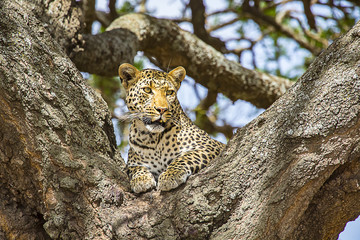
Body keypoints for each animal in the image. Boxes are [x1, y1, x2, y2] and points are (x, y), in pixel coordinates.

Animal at [119, 63, 225, 193]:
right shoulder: (133, 162)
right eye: (147, 90)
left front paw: (170, 175)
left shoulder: (208, 146)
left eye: (169, 92)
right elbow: (135, 168)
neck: (153, 138)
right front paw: (141, 179)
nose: (162, 109)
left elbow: (185, 157)